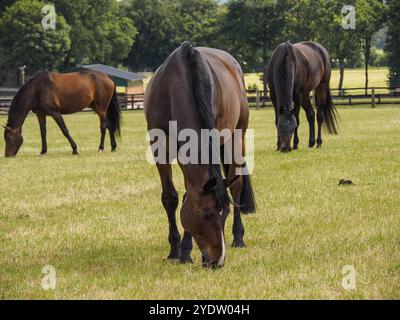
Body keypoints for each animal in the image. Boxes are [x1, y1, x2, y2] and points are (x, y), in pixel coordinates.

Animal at [145, 42, 256, 268]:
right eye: (206, 214)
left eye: (225, 213)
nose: (217, 261)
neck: (176, 85)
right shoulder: (159, 148)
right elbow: (170, 197)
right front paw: (175, 250)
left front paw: (186, 251)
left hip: (237, 136)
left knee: (237, 186)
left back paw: (238, 237)